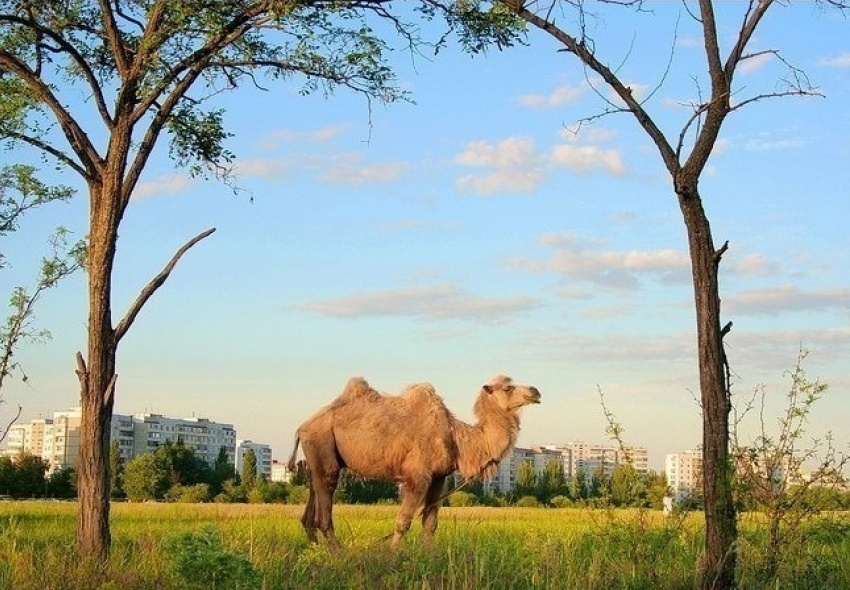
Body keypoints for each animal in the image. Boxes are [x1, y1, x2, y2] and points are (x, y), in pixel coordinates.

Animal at [284, 374, 536, 552]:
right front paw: (392, 554)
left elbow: (430, 522)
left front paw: (429, 555)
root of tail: (302, 426)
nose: (535, 391)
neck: (456, 437)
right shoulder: (417, 475)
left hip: (316, 459)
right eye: (508, 387)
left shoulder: (439, 477)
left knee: (310, 510)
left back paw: (317, 550)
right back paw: (338, 554)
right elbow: (403, 521)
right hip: (323, 445)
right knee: (324, 509)